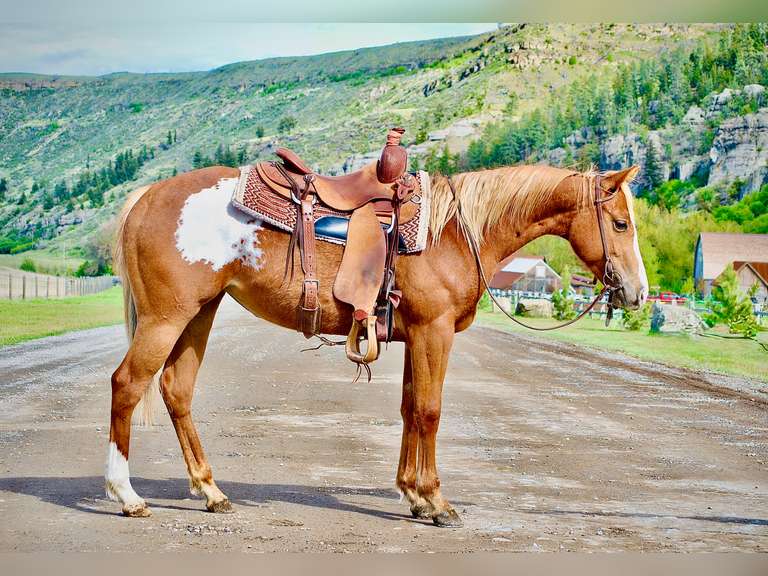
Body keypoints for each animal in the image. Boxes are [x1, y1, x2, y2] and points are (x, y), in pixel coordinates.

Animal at [105, 162, 647, 526]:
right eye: (621, 223)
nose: (638, 292)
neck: (454, 233)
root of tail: (148, 195)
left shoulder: (416, 335)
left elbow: (410, 408)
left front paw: (412, 494)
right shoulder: (434, 330)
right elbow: (429, 410)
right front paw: (436, 501)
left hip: (199, 312)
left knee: (176, 389)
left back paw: (211, 491)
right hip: (166, 317)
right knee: (127, 385)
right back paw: (126, 496)